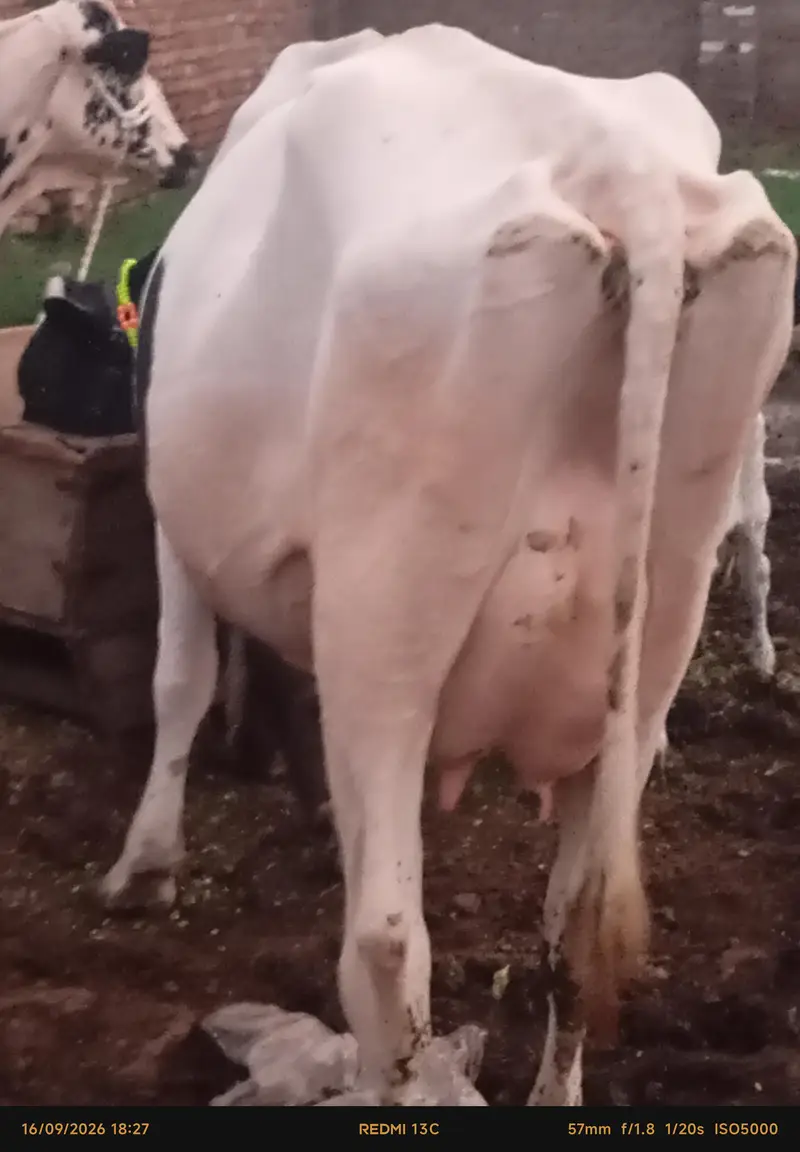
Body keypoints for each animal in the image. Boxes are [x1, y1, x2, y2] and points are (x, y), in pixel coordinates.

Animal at [98, 26, 796, 1106]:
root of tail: (611, 158)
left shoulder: (175, 516)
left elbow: (181, 677)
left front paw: (147, 865)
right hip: (659, 624)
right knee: (572, 917)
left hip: (384, 620)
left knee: (387, 946)